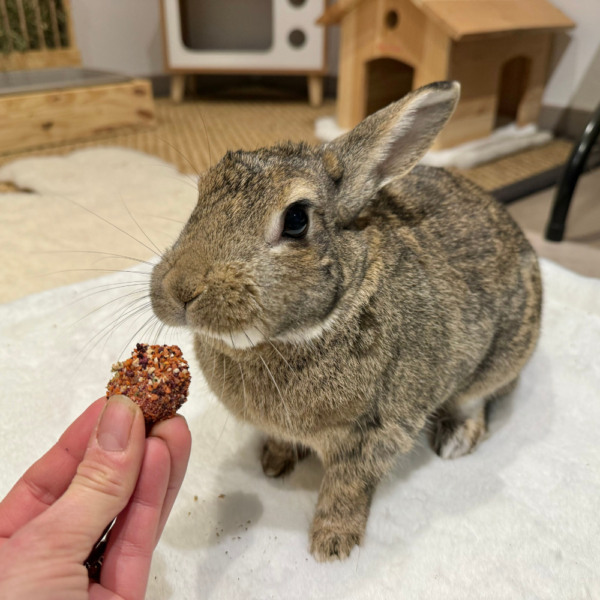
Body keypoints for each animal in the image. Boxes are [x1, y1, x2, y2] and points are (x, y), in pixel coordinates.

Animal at [151, 83, 544, 564]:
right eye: (201, 196)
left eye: (296, 219)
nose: (180, 290)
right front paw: (273, 463)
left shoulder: (376, 432)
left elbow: (346, 488)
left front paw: (332, 545)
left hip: (500, 357)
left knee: (478, 400)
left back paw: (455, 441)